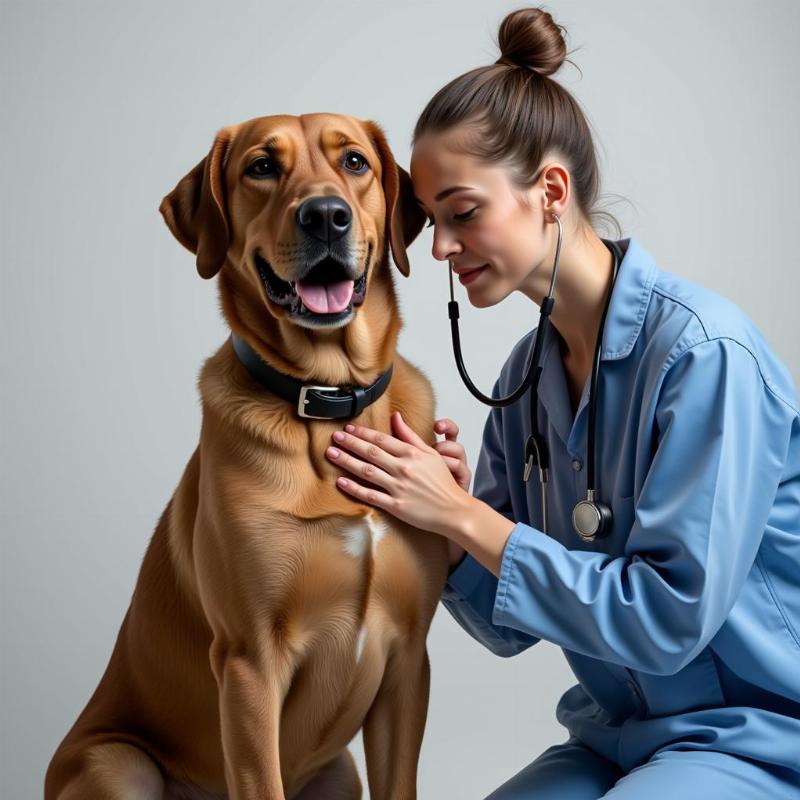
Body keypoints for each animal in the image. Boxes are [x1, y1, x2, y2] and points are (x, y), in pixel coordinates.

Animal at [45, 114, 450, 800]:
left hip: (339, 775)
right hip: (116, 764)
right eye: (262, 167)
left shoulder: (407, 663)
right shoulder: (249, 663)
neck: (329, 400)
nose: (325, 217)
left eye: (355, 162)